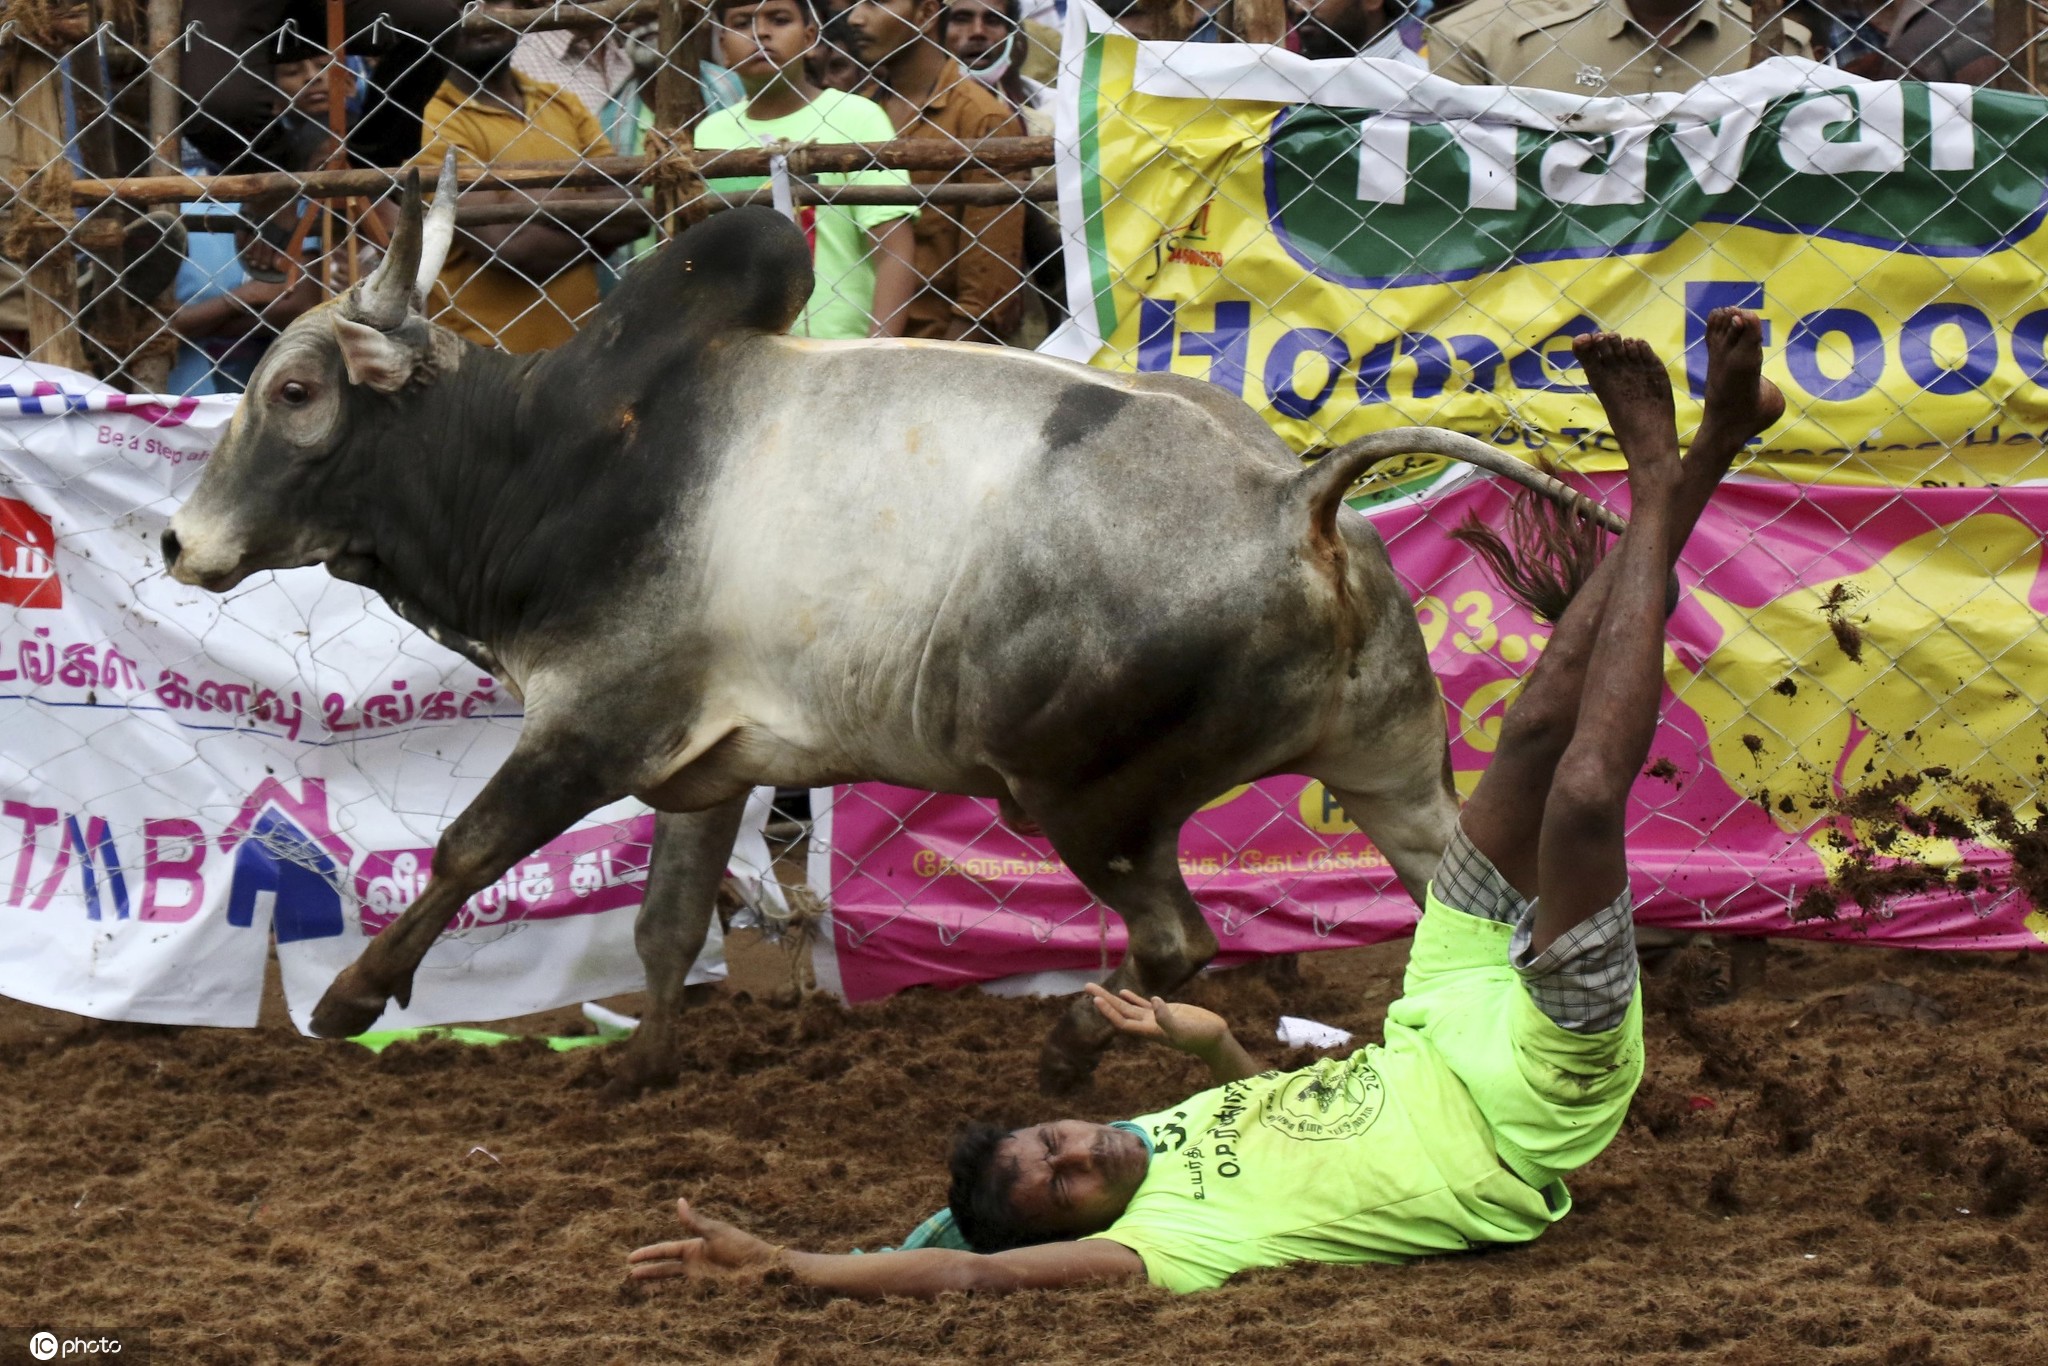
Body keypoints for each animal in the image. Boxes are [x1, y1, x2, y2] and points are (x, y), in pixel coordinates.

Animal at [163, 165, 1613, 1097]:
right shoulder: (712, 760)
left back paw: (1091, 1057)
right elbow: (667, 923)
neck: (555, 460)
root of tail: (1292, 497)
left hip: (1086, 799)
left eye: (294, 392)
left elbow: (469, 845)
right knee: (1462, 900)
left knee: (1177, 943)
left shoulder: (596, 719)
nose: (179, 542)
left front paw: (353, 998)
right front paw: (637, 1069)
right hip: (1389, 767)